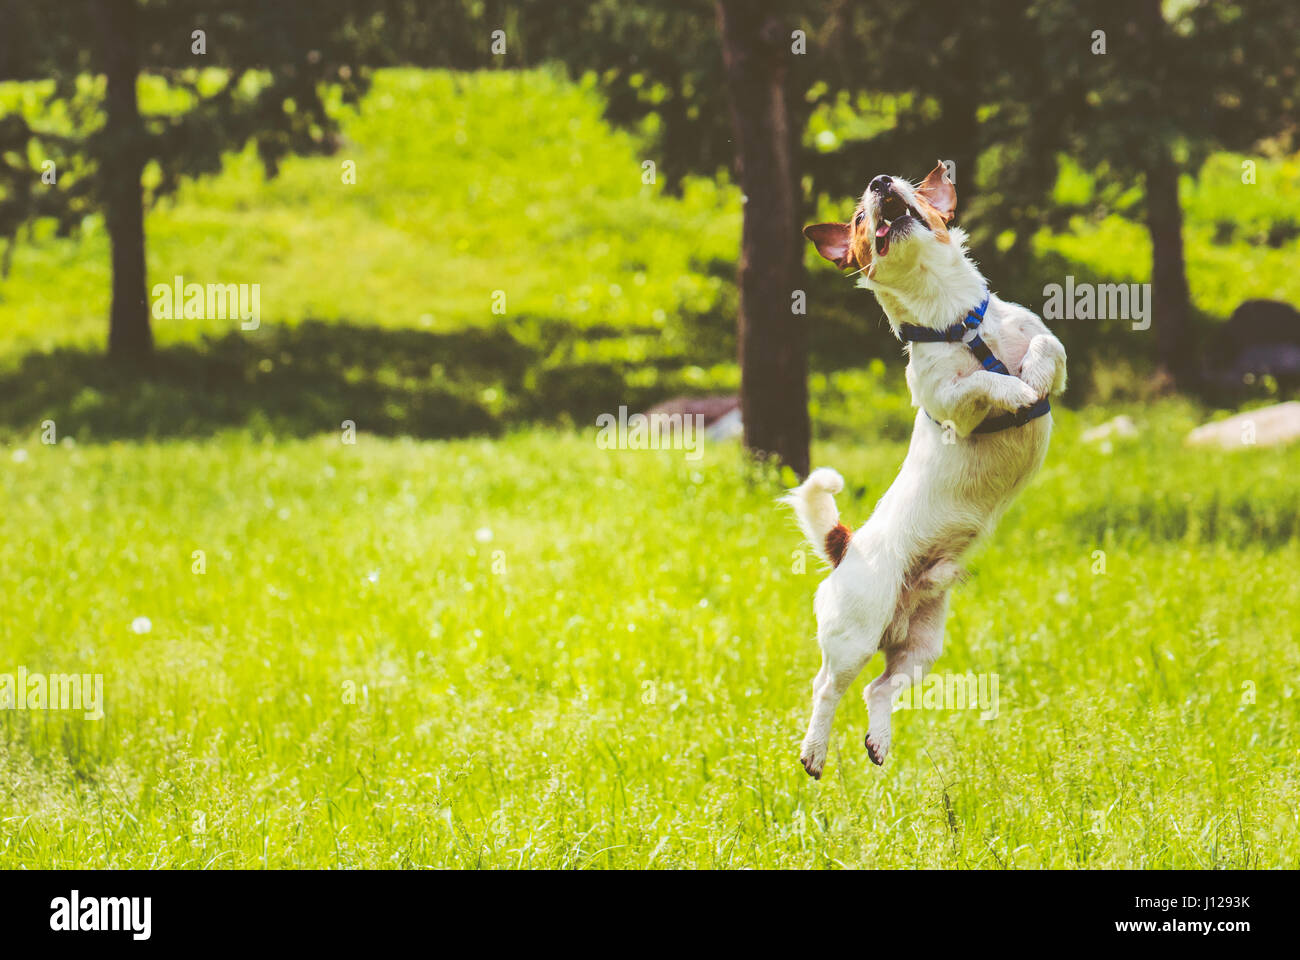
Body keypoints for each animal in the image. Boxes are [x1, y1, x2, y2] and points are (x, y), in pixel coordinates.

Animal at [785, 160, 1060, 775]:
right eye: (858, 218)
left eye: (901, 186)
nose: (879, 182)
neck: (955, 322)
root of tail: (845, 546)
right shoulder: (949, 403)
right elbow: (980, 383)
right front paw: (1012, 389)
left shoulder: (1043, 344)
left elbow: (1046, 351)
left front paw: (1030, 375)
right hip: (854, 634)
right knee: (827, 687)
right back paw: (814, 750)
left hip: (921, 647)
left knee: (878, 689)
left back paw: (878, 740)